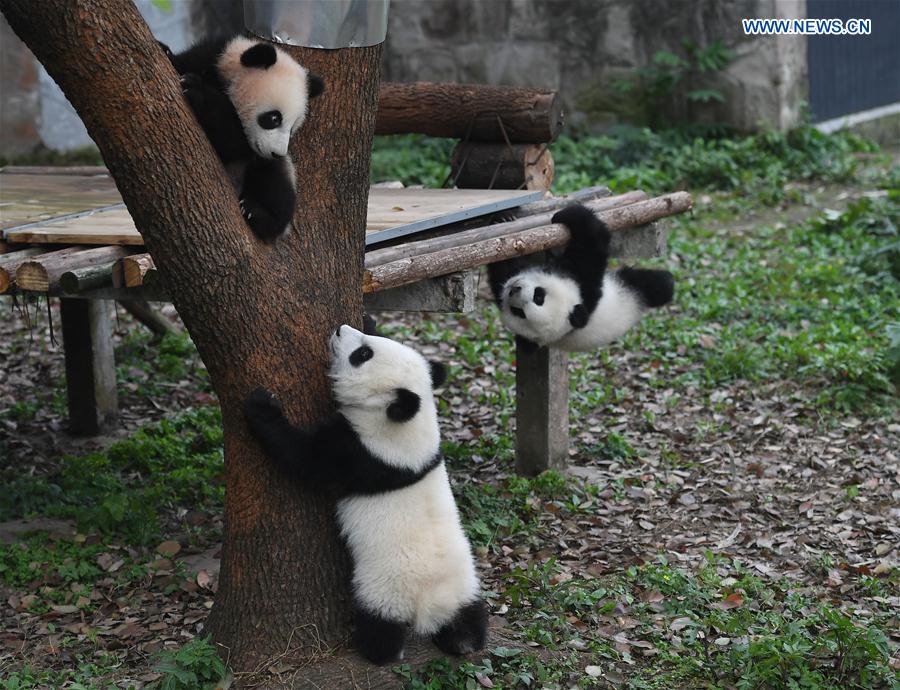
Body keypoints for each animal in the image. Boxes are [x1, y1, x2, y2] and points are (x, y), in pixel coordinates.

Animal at [160, 36, 325, 240]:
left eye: (293, 128)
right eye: (274, 118)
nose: (277, 153)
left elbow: (231, 141)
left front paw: (197, 89)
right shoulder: (212, 56)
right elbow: (183, 62)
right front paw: (166, 52)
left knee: (276, 182)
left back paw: (257, 214)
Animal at [243, 325, 487, 665]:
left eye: (362, 355)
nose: (339, 329)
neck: (407, 421)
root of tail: (428, 604)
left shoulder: (364, 455)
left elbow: (305, 459)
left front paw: (262, 407)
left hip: (383, 588)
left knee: (379, 625)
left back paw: (378, 651)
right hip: (462, 584)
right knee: (470, 616)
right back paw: (466, 641)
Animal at [488, 204, 674, 352]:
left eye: (538, 297)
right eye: (518, 311)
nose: (514, 290)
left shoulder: (584, 284)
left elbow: (591, 244)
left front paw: (565, 215)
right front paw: (503, 218)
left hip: (628, 289)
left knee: (657, 285)